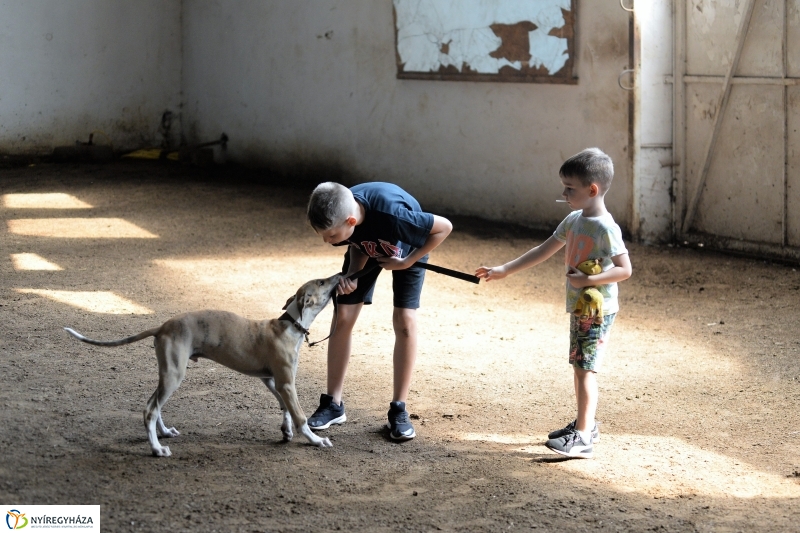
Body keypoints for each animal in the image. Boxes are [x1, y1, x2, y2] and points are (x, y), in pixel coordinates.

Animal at [65, 272, 340, 456]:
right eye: (322, 282)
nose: (340, 274)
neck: (289, 325)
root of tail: (162, 327)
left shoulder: (271, 379)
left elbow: (284, 405)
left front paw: (286, 431)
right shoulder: (285, 382)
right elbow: (300, 415)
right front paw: (316, 440)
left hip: (168, 373)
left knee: (152, 404)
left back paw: (164, 433)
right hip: (174, 374)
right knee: (150, 409)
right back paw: (157, 449)